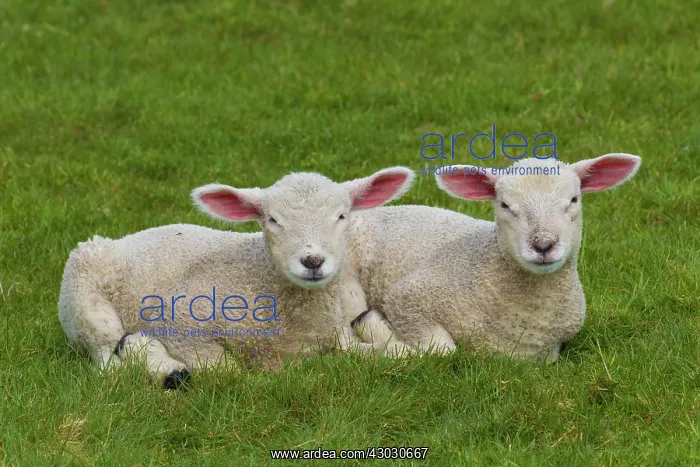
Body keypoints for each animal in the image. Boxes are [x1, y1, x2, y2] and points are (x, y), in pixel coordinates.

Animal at [58, 167, 415, 388]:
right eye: (273, 220)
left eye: (342, 216)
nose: (312, 261)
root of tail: (124, 238)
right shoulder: (183, 321)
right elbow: (224, 370)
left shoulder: (338, 328)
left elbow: (385, 354)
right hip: (83, 298)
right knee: (108, 359)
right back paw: (164, 367)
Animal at [349, 154, 642, 361]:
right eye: (505, 205)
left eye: (574, 199)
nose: (543, 245)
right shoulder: (408, 299)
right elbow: (442, 351)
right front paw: (376, 330)